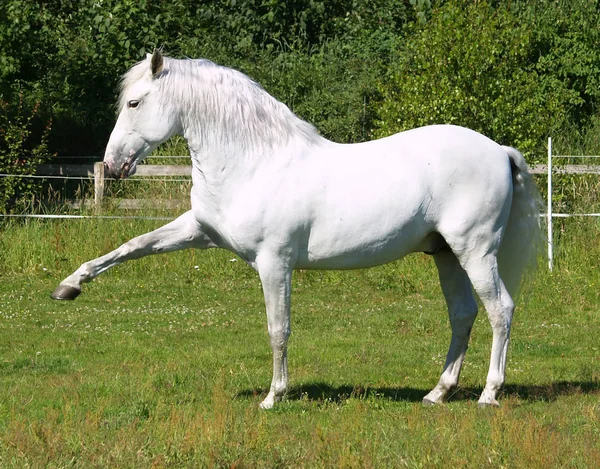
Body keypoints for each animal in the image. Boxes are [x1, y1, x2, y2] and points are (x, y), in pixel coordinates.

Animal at [50, 50, 540, 406]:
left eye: (135, 103)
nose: (113, 165)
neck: (253, 162)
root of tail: (499, 150)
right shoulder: (198, 232)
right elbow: (132, 246)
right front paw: (69, 286)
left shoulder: (274, 263)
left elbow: (278, 328)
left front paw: (273, 396)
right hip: (446, 255)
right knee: (463, 315)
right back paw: (438, 392)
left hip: (474, 251)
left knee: (500, 310)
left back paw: (489, 394)